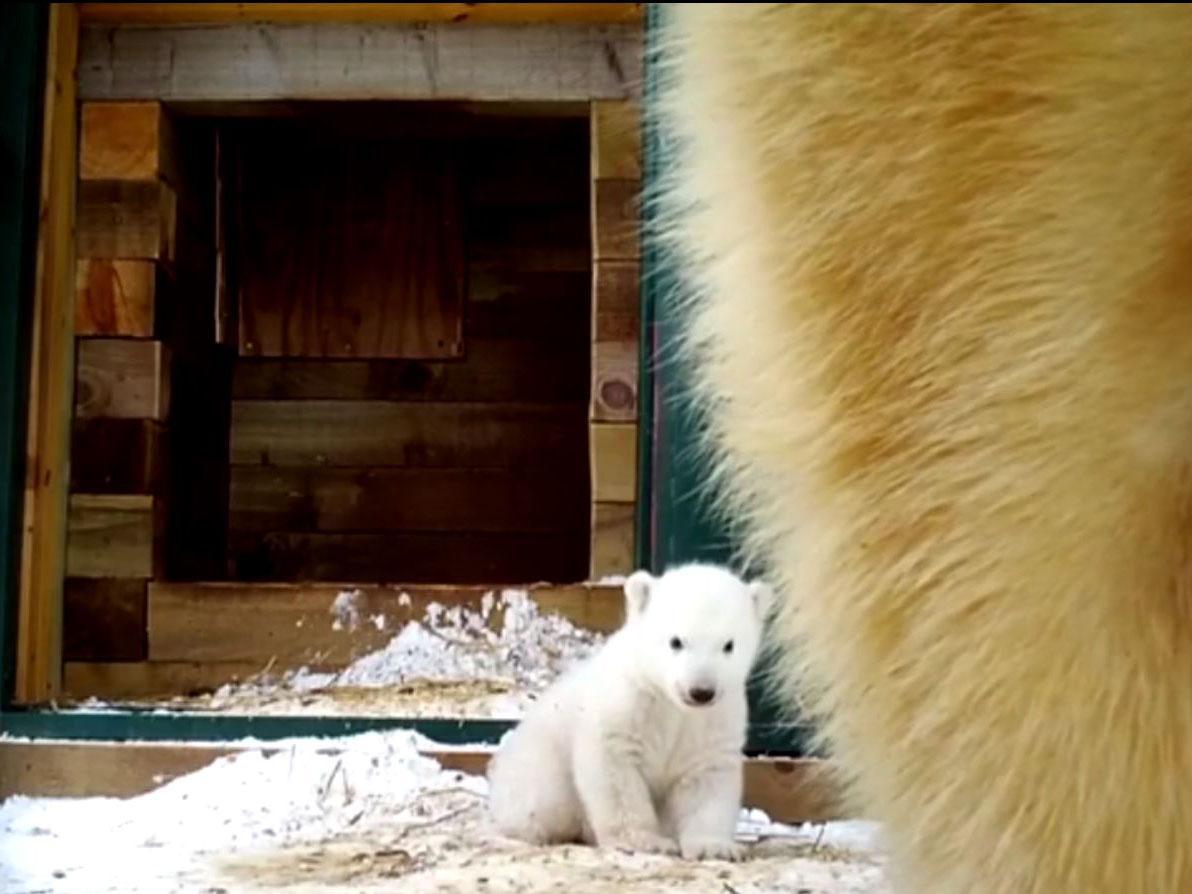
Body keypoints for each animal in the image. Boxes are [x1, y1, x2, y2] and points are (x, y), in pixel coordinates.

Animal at [486, 564, 772, 861]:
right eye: (676, 641)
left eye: (729, 645)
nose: (701, 691)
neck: (670, 702)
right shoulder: (628, 703)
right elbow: (616, 769)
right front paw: (648, 841)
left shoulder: (713, 720)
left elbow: (706, 775)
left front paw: (714, 847)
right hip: (540, 765)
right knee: (541, 803)